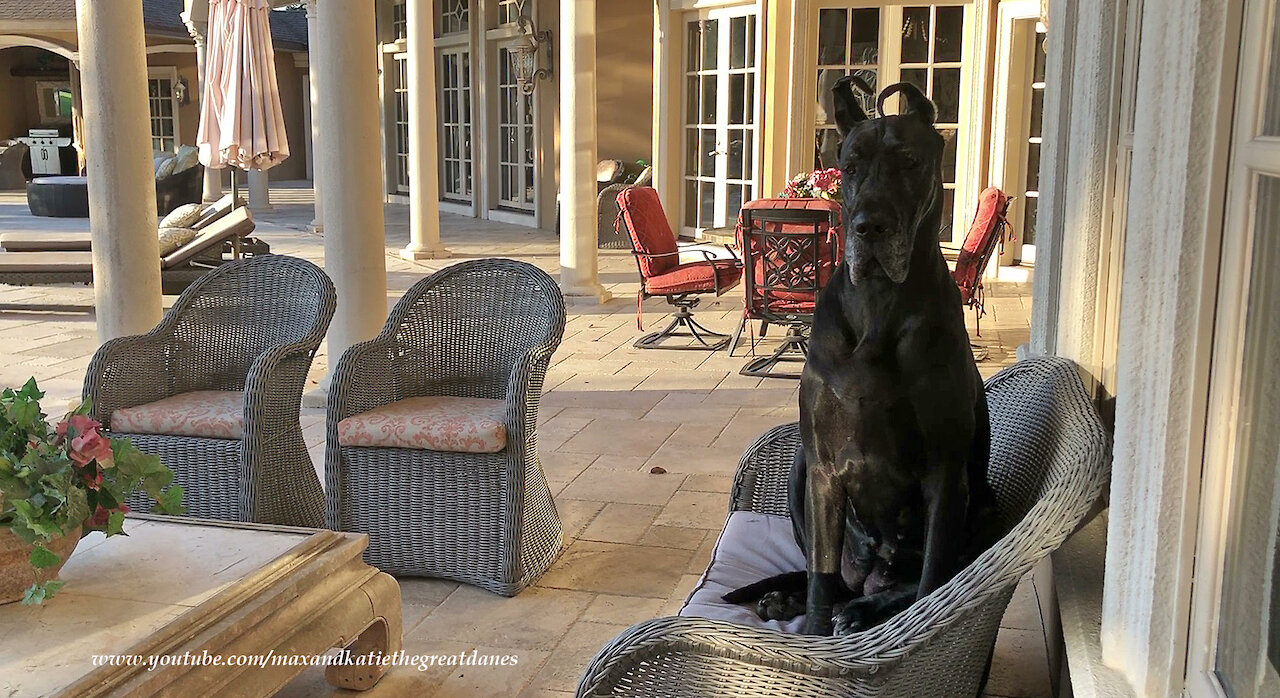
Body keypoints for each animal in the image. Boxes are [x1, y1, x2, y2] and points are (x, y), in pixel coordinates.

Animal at [727, 77, 1003, 637]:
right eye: (850, 166)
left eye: (910, 162)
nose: (868, 227)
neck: (877, 303)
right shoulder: (823, 468)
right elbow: (819, 577)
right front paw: (811, 631)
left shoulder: (945, 473)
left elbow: (932, 582)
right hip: (799, 467)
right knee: (829, 576)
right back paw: (790, 599)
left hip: (988, 506)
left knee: (905, 584)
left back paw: (863, 610)